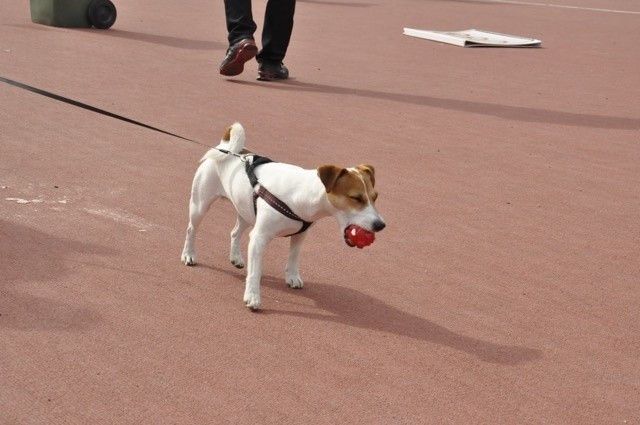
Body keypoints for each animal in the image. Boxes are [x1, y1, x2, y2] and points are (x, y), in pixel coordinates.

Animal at [180, 121, 384, 308]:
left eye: (375, 197)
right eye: (355, 198)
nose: (381, 225)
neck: (304, 194)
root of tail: (225, 147)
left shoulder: (301, 234)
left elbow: (293, 258)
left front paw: (292, 277)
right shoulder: (259, 238)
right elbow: (255, 272)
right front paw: (252, 296)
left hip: (246, 211)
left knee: (235, 232)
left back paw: (236, 257)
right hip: (200, 205)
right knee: (191, 229)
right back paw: (189, 254)